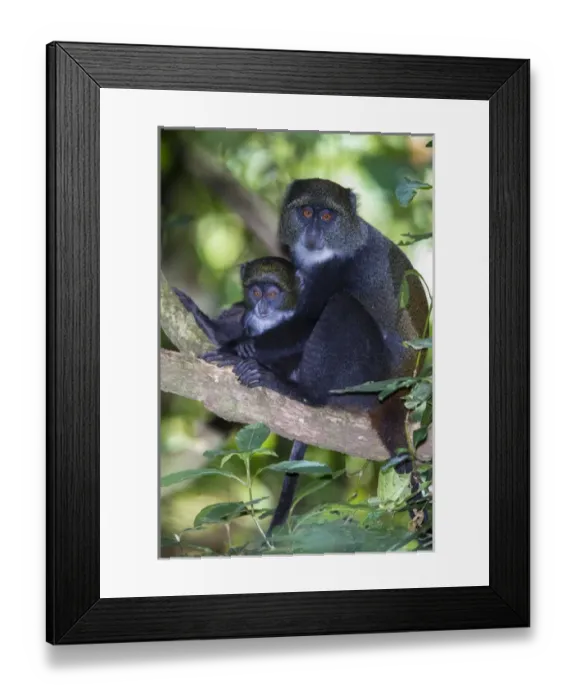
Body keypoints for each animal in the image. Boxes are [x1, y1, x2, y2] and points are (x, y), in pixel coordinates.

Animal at [204, 179, 429, 533]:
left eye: (326, 216)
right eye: (306, 212)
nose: (313, 232)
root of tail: (398, 397)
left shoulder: (344, 269)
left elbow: (308, 321)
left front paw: (233, 347)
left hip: (367, 383)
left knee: (341, 306)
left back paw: (300, 391)